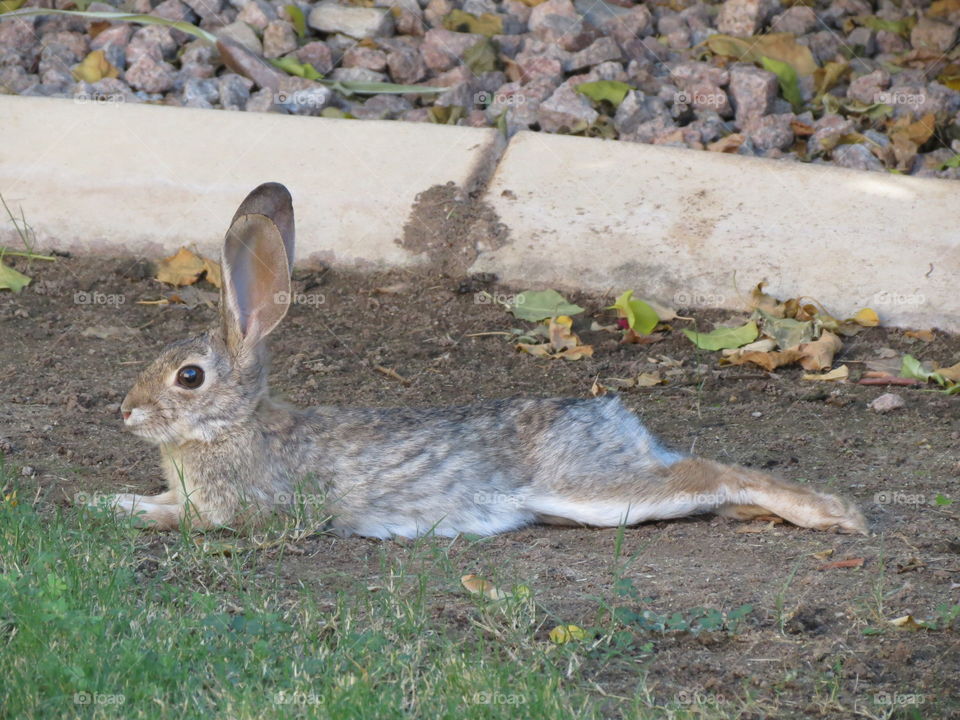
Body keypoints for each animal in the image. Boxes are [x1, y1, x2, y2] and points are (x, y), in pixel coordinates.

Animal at [91, 183, 868, 538]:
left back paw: (836, 515)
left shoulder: (237, 511)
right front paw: (105, 498)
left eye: (189, 377)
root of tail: (612, 418)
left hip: (586, 489)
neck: (235, 425)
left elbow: (177, 518)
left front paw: (111, 509)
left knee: (705, 474)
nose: (126, 412)